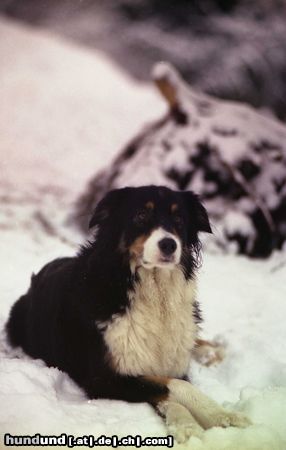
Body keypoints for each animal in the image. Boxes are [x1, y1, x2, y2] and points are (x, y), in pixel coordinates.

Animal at [5, 185, 249, 442]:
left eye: (179, 219)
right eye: (141, 215)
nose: (169, 244)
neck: (153, 292)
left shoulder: (172, 364)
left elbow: (175, 384)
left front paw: (221, 415)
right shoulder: (104, 378)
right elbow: (172, 388)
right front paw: (192, 425)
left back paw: (212, 351)